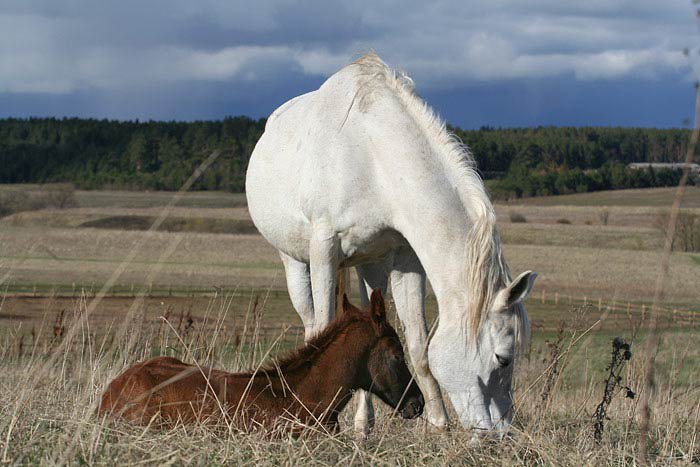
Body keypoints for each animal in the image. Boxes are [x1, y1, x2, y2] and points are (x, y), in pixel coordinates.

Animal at [246, 53, 536, 436]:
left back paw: (364, 423)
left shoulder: (405, 259)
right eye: (502, 359)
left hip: (370, 265)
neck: (372, 155)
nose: (501, 434)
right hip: (295, 261)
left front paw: (438, 424)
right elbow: (322, 328)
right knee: (311, 322)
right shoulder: (324, 250)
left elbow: (419, 346)